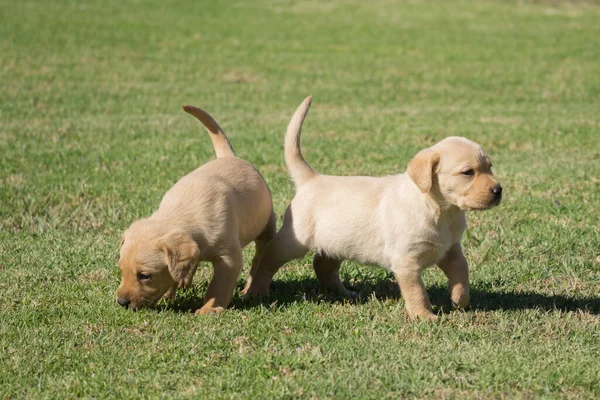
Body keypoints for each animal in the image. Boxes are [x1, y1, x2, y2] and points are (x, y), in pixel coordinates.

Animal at [116, 104, 276, 314]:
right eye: (121, 270)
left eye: (144, 275)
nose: (121, 302)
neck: (183, 213)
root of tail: (229, 156)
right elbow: (177, 271)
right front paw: (171, 293)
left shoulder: (228, 257)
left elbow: (218, 286)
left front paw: (208, 310)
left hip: (266, 227)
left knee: (258, 260)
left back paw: (250, 289)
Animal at [244, 97, 502, 318]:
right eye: (468, 172)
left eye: (490, 167)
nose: (498, 190)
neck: (440, 209)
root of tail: (311, 179)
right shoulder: (406, 261)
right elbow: (417, 292)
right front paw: (424, 316)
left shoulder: (450, 249)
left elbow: (462, 271)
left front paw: (460, 299)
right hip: (294, 241)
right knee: (267, 259)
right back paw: (255, 291)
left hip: (339, 240)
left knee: (322, 264)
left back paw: (343, 293)